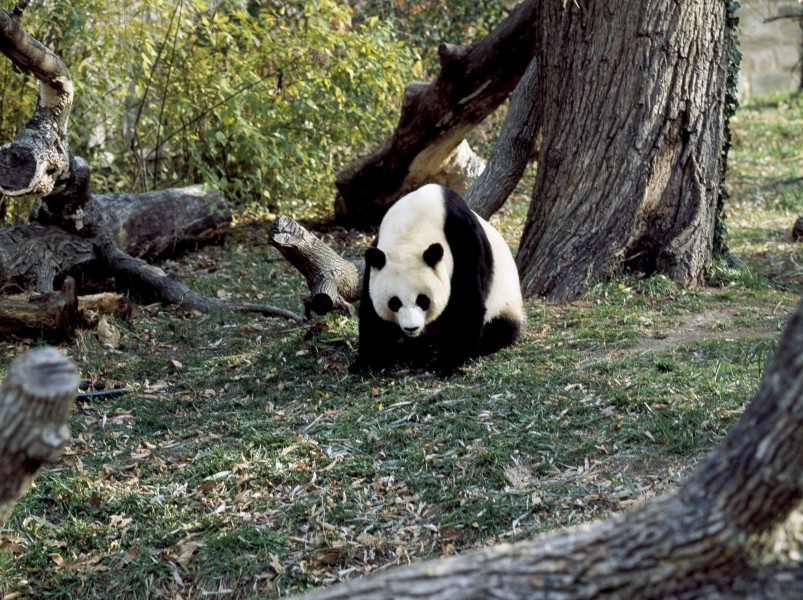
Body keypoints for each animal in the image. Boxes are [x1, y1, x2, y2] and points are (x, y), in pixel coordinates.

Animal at [348, 183, 524, 376]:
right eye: (394, 302)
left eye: (422, 299)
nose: (411, 328)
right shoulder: (376, 255)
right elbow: (372, 313)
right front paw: (366, 362)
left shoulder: (463, 241)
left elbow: (466, 304)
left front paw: (448, 362)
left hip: (505, 301)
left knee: (501, 328)